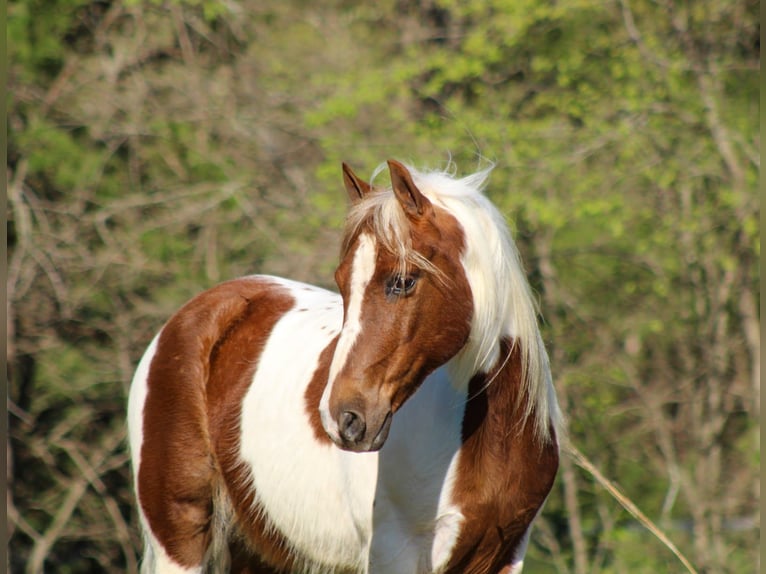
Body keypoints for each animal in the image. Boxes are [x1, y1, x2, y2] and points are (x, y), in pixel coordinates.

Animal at [127, 159, 563, 574]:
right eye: (341, 282)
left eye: (403, 281)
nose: (343, 419)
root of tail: (182, 323)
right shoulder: (392, 554)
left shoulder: (505, 557)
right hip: (180, 541)